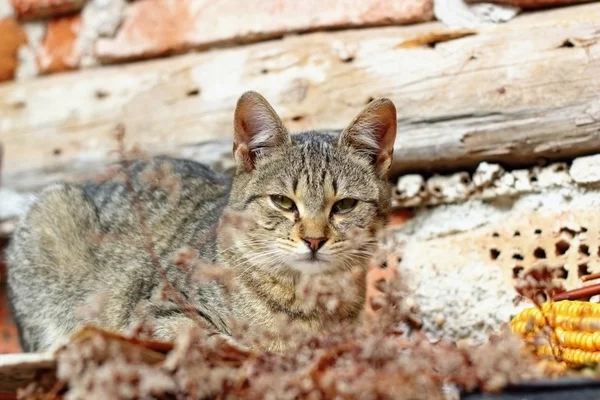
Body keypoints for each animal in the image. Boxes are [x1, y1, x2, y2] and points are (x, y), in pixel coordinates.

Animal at [7, 91, 398, 354]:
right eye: (284, 202)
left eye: (344, 205)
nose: (314, 240)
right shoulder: (153, 314)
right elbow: (213, 337)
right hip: (51, 212)